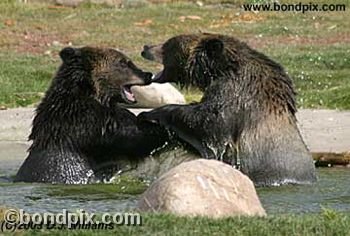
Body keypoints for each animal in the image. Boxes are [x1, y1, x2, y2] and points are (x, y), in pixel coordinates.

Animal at [16, 45, 168, 183]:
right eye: (123, 62)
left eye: (127, 61)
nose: (147, 74)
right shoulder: (89, 122)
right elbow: (132, 137)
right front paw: (162, 129)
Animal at [139, 33, 318, 187]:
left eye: (168, 44)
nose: (145, 47)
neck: (221, 70)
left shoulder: (235, 93)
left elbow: (209, 123)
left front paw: (150, 113)